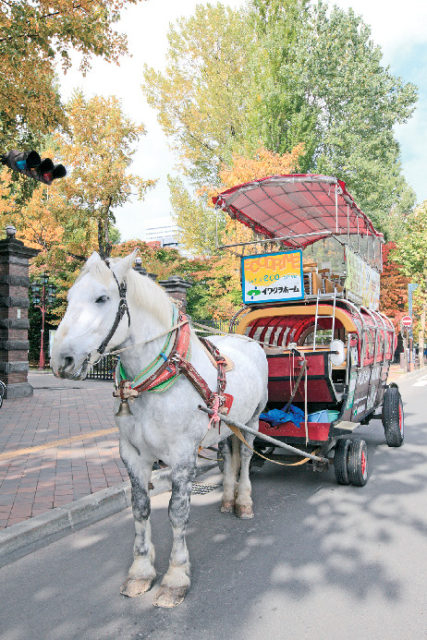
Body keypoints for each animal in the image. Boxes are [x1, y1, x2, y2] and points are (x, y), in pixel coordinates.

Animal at [51, 251, 268, 608]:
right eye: (68, 298)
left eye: (102, 298)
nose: (61, 360)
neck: (160, 376)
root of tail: (246, 339)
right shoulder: (132, 454)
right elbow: (140, 509)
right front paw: (140, 572)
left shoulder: (182, 456)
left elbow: (177, 513)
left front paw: (175, 578)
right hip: (224, 424)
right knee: (228, 454)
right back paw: (227, 498)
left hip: (252, 421)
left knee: (248, 458)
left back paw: (244, 502)